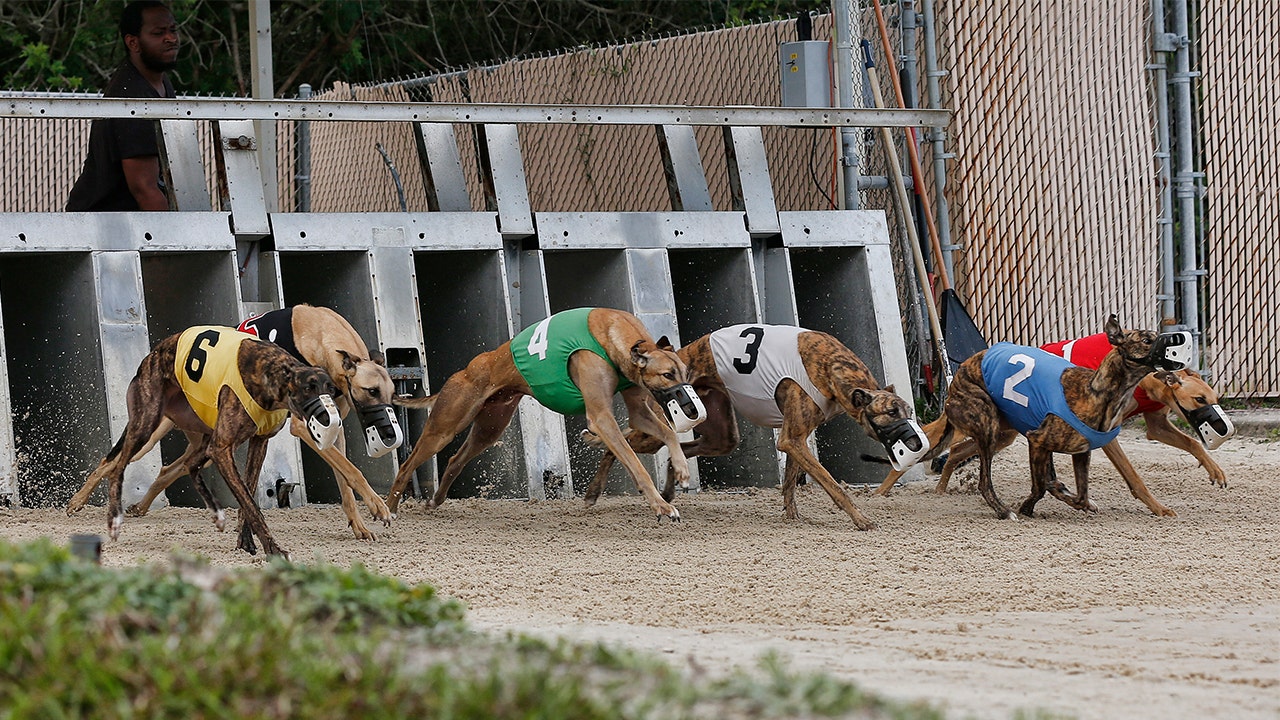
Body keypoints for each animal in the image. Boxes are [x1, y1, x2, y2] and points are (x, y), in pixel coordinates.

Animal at [69, 325, 340, 556]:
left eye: (330, 389)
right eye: (308, 388)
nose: (327, 416)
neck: (270, 372)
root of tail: (153, 354)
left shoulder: (258, 442)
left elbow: (248, 497)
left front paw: (246, 543)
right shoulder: (221, 448)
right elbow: (250, 503)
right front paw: (273, 549)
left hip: (198, 440)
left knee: (171, 468)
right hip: (145, 430)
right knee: (112, 464)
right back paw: (82, 503)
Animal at [81, 302, 399, 538]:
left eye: (392, 393)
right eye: (371, 390)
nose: (388, 435)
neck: (318, 333)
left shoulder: (332, 429)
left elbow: (345, 478)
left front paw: (359, 525)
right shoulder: (303, 426)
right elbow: (353, 471)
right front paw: (379, 507)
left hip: (202, 442)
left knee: (169, 469)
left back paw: (140, 506)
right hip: (149, 433)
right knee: (109, 462)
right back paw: (76, 504)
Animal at [386, 304, 711, 517]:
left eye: (685, 372)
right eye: (667, 375)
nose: (691, 407)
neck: (614, 333)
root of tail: (467, 369)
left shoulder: (638, 411)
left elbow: (668, 432)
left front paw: (681, 470)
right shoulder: (601, 417)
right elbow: (634, 462)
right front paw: (662, 506)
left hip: (489, 428)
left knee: (455, 460)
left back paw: (434, 501)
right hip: (445, 425)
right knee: (406, 465)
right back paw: (389, 508)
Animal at [586, 324, 926, 527]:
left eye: (910, 412)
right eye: (891, 412)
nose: (919, 446)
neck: (834, 367)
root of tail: (673, 358)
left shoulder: (796, 438)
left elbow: (790, 481)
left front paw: (792, 515)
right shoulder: (792, 438)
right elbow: (832, 486)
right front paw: (861, 518)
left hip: (722, 433)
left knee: (678, 450)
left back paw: (667, 488)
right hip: (656, 425)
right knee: (619, 441)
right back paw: (593, 486)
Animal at [875, 333, 1233, 515]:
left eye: (1214, 397)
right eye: (1200, 399)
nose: (1224, 429)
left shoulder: (1155, 424)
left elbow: (1190, 442)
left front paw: (1215, 471)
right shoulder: (1108, 438)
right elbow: (1133, 476)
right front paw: (1157, 506)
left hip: (1001, 433)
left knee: (958, 453)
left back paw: (941, 486)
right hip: (984, 427)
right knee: (928, 449)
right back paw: (882, 491)